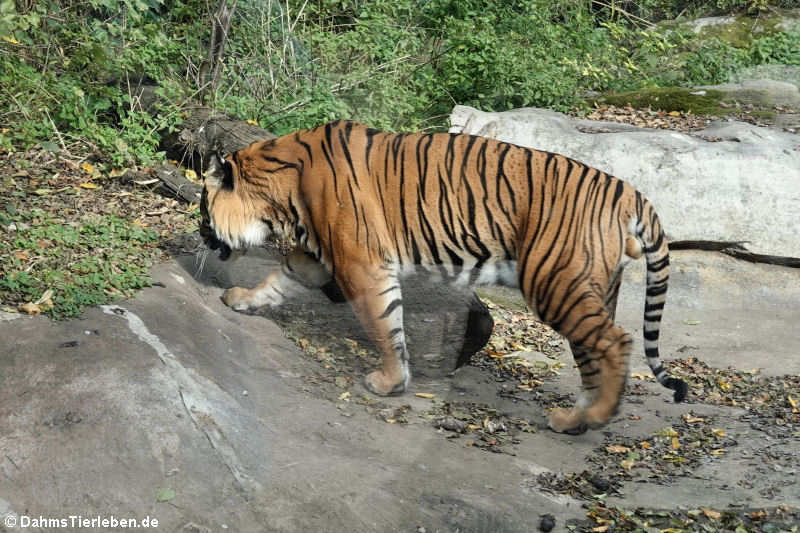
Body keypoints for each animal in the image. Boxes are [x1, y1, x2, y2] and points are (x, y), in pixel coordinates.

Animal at [198, 119, 688, 432]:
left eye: (203, 208)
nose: (201, 233)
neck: (281, 193)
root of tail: (630, 192)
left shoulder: (360, 262)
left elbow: (385, 323)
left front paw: (389, 382)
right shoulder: (317, 256)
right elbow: (278, 280)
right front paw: (242, 299)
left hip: (556, 284)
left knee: (617, 341)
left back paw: (601, 416)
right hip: (588, 291)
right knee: (592, 357)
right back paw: (574, 421)